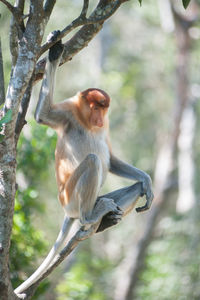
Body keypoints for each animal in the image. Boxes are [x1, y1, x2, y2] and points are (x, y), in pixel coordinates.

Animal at [14, 31, 154, 296]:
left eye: (104, 108)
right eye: (95, 106)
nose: (99, 117)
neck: (86, 120)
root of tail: (69, 210)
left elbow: (111, 159)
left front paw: (147, 181)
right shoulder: (68, 110)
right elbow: (43, 116)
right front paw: (55, 52)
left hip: (95, 198)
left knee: (131, 188)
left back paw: (107, 219)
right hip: (71, 198)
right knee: (92, 161)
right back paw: (90, 217)